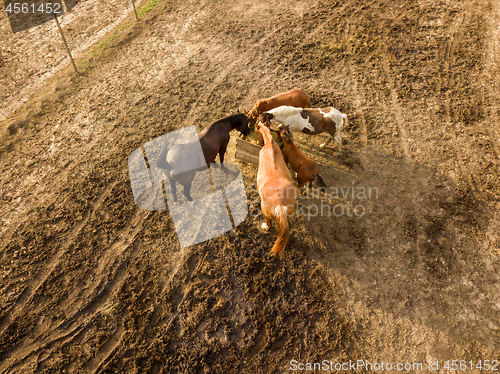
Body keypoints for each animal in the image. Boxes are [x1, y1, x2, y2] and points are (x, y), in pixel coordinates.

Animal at [256, 116, 294, 258]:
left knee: (270, 223)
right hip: (288, 215)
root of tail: (280, 203)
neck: (270, 145)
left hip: (266, 212)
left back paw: (264, 226)